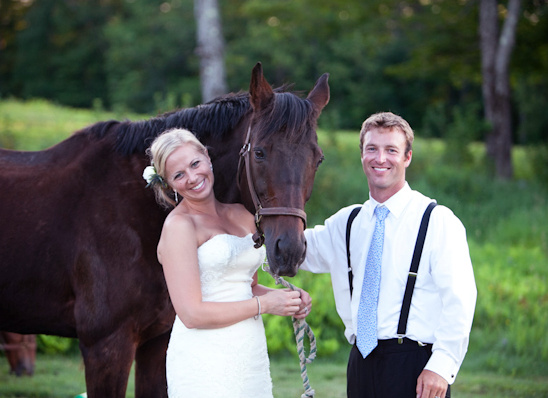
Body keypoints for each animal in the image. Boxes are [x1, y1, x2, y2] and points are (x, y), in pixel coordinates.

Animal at [0, 63, 330, 396]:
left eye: (318, 159)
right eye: (259, 153)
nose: (289, 251)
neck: (139, 215)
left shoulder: (156, 342)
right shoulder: (106, 346)